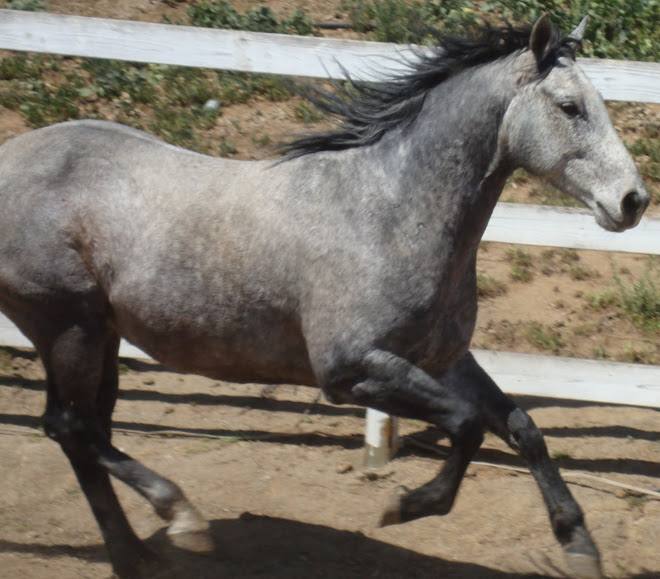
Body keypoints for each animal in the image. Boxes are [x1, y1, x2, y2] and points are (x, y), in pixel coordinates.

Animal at [0, 14, 649, 578]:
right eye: (569, 107)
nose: (633, 201)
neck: (388, 212)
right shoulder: (349, 371)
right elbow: (466, 425)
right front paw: (407, 506)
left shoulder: (442, 359)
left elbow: (522, 427)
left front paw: (579, 546)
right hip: (66, 325)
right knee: (70, 427)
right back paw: (180, 517)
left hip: (100, 333)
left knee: (86, 432)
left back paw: (135, 555)